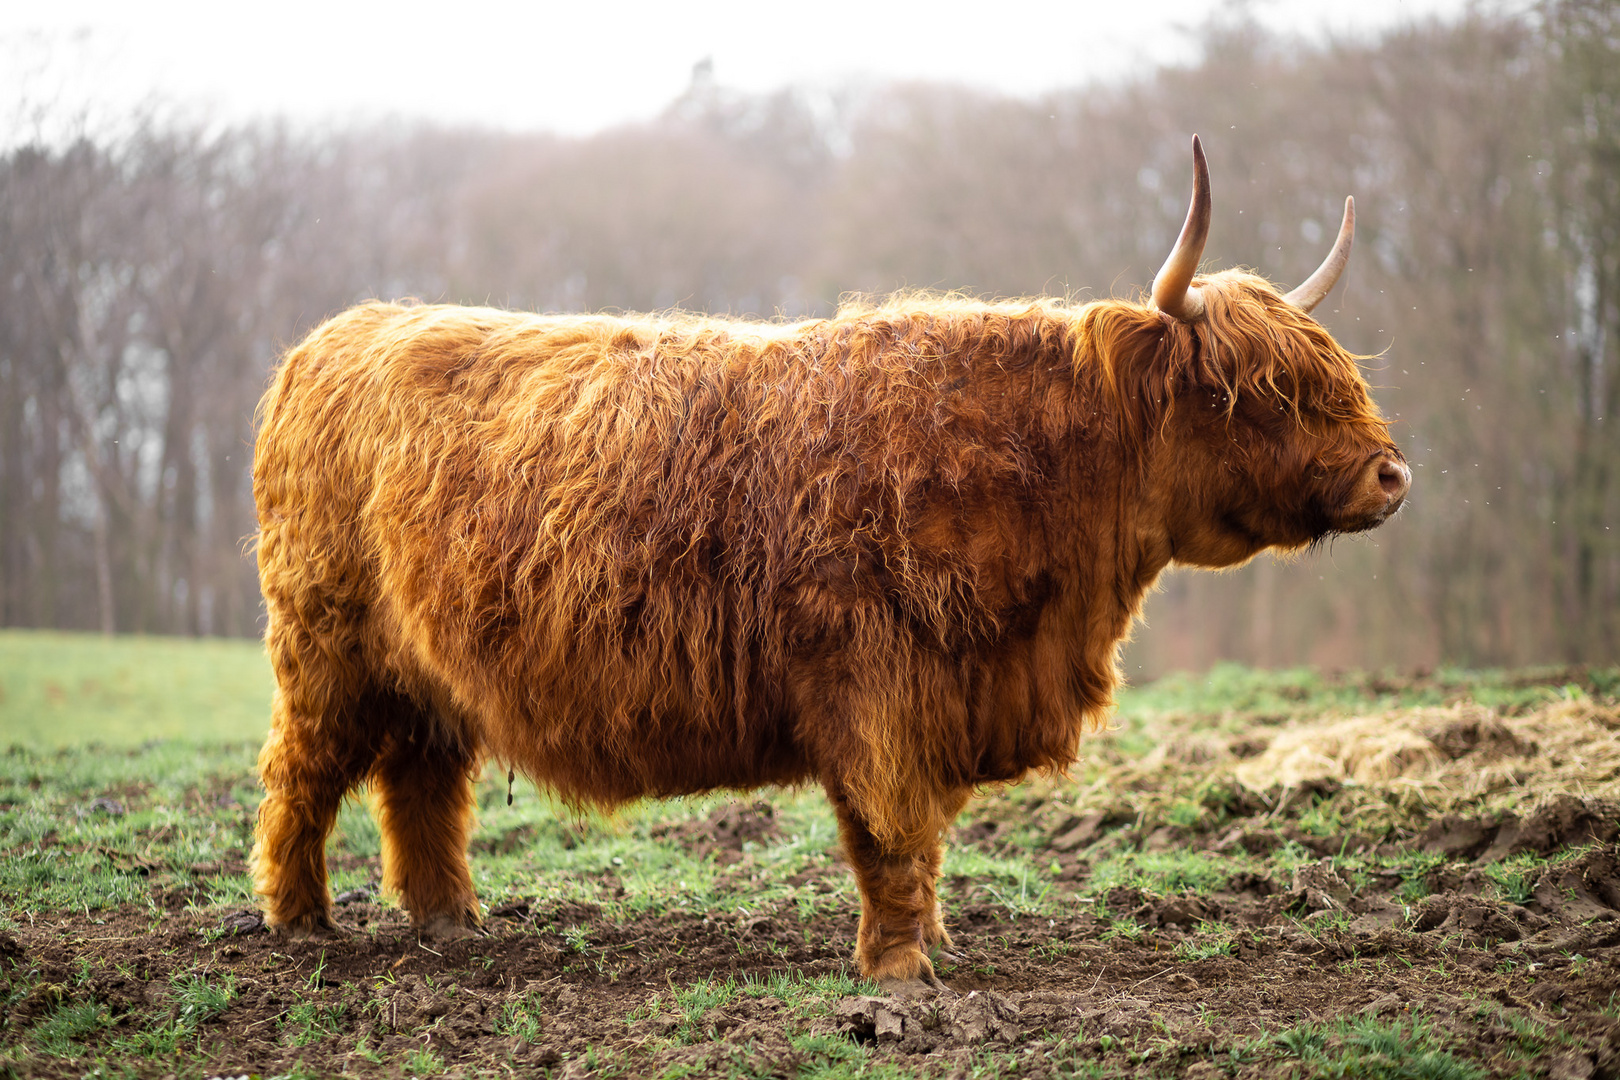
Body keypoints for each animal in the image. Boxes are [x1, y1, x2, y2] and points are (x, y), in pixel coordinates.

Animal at [249, 137, 1406, 997]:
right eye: (1256, 391)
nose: (1391, 475)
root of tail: (341, 333)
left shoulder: (945, 694)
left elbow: (925, 841)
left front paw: (931, 948)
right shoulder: (875, 689)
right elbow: (891, 835)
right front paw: (899, 974)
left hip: (425, 671)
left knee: (421, 783)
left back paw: (451, 924)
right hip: (327, 648)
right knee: (302, 774)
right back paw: (301, 925)